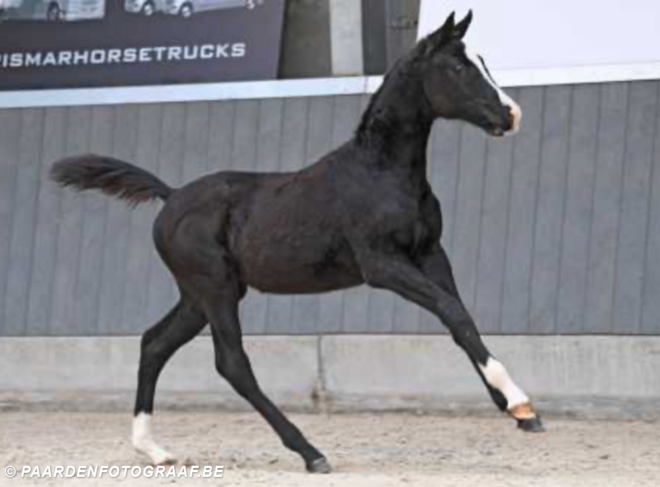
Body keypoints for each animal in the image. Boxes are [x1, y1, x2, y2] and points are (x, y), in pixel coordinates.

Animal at [50, 10, 544, 474]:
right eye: (458, 68)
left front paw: (516, 410)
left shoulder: (431, 254)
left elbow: (461, 318)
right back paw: (310, 452)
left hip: (199, 295)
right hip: (215, 289)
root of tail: (170, 196)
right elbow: (451, 311)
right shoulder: (382, 265)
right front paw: (519, 403)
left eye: (482, 62)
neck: (381, 173)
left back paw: (153, 450)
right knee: (231, 363)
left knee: (154, 344)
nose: (513, 115)